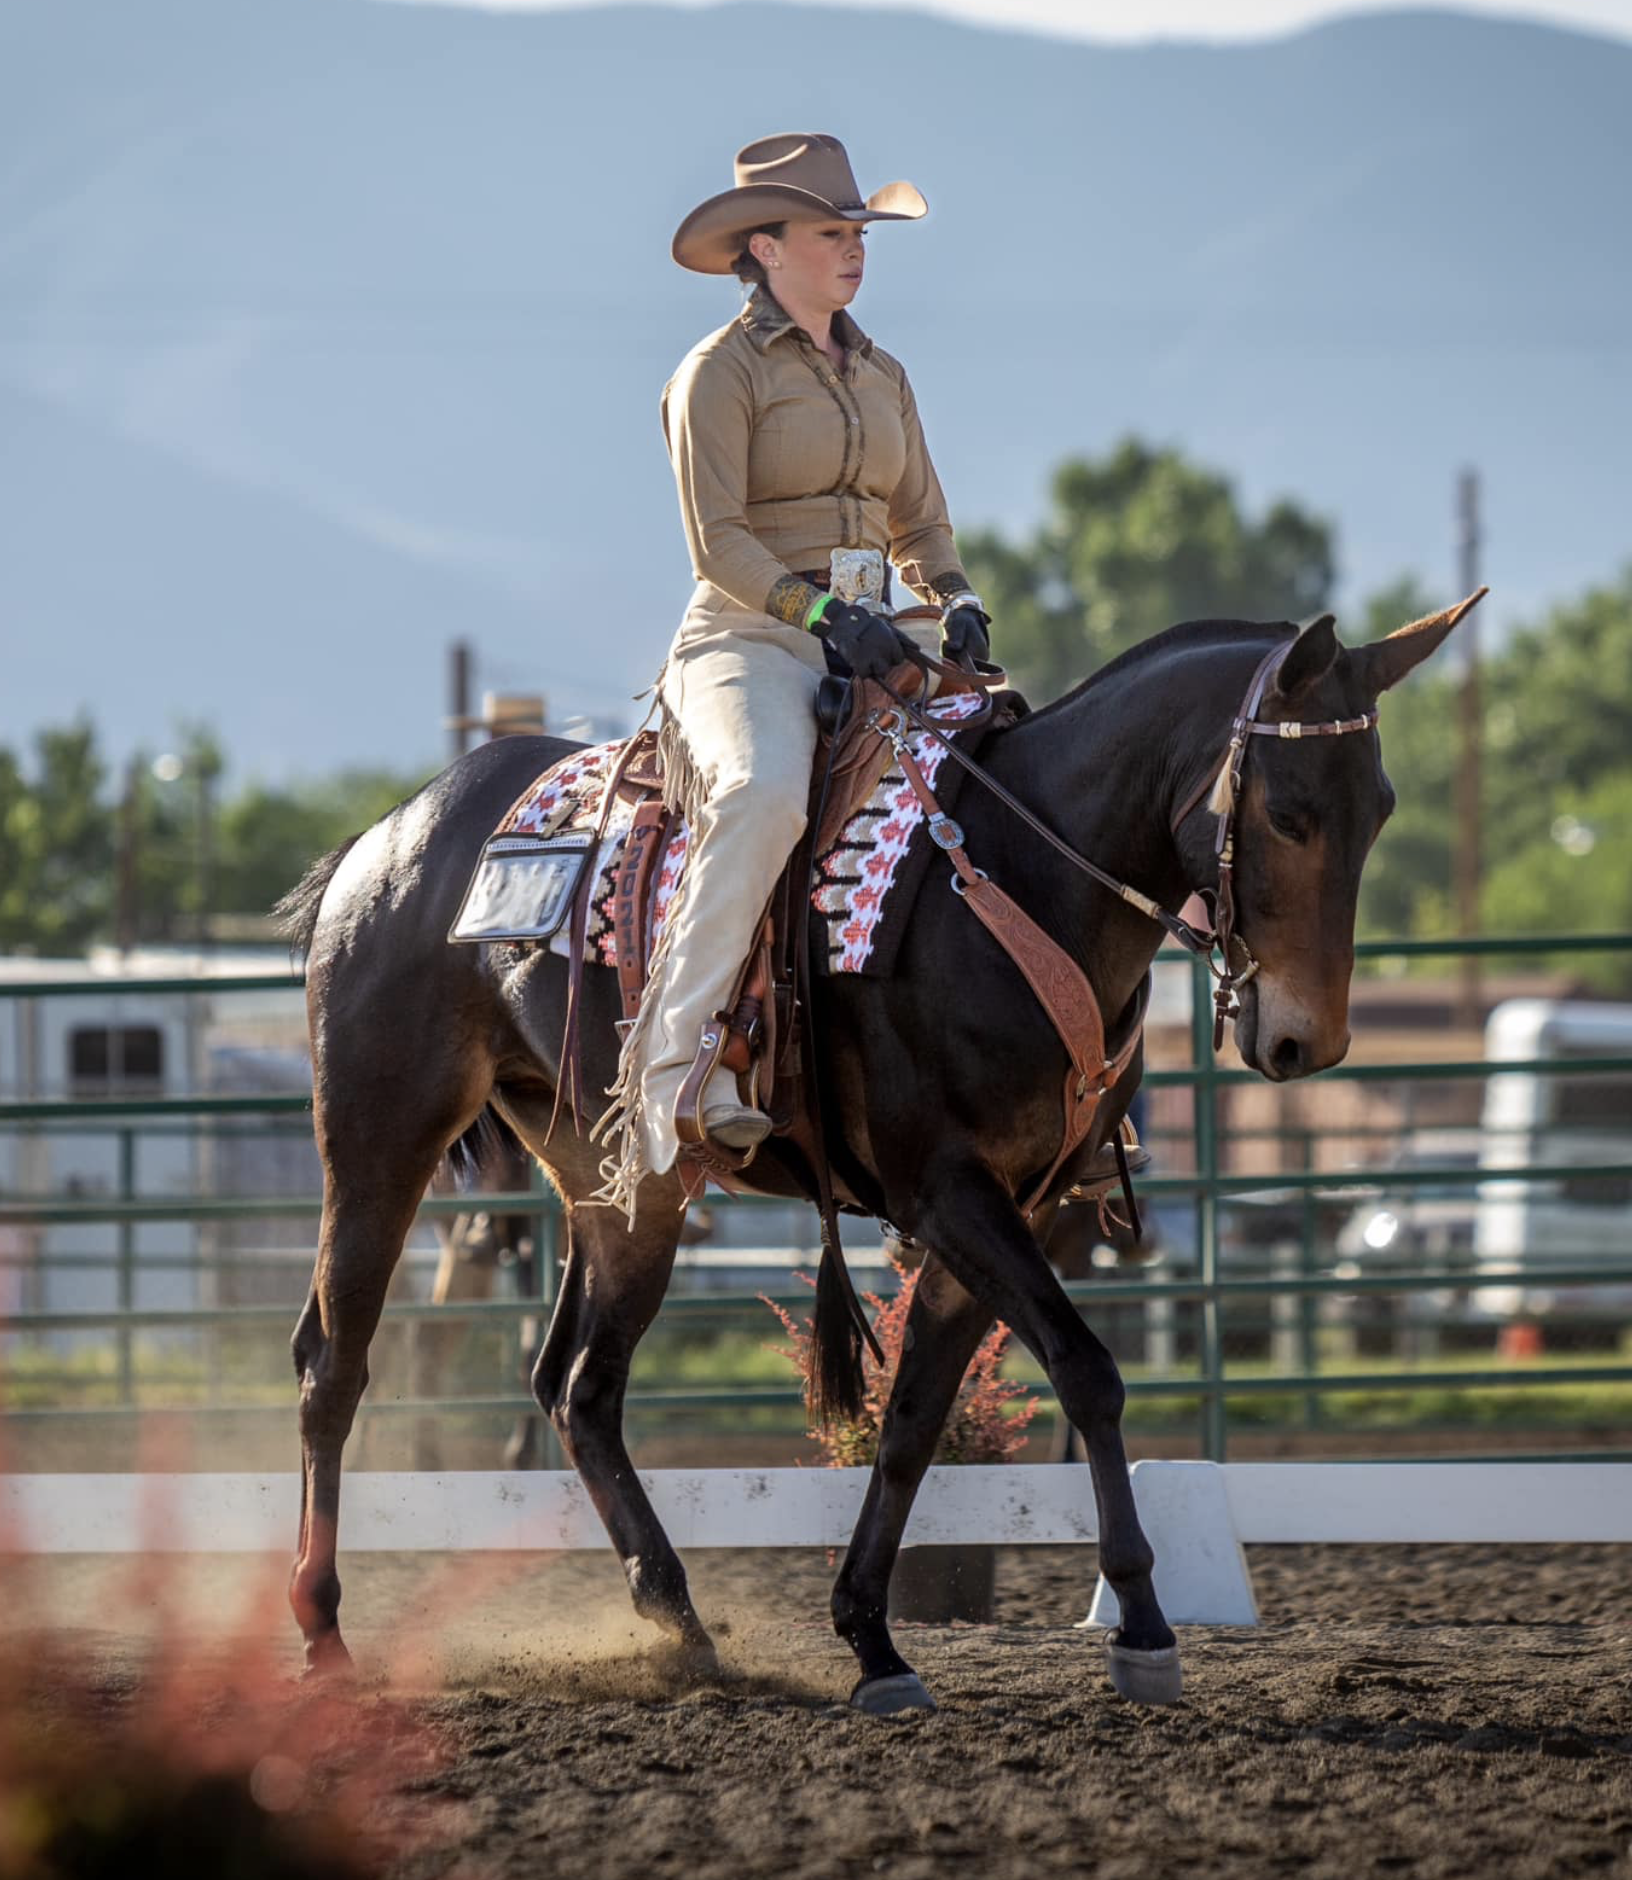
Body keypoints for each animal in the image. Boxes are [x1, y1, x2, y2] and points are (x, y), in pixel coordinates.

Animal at [277, 594, 1476, 1713]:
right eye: (1289, 812)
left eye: (1380, 809)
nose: (1306, 1041)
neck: (1015, 878)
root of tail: (384, 839)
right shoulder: (948, 1189)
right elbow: (1087, 1370)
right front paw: (1140, 1622)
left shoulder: (1020, 1207)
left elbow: (912, 1418)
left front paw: (872, 1635)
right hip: (378, 1138)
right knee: (336, 1364)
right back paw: (322, 1633)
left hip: (624, 1193)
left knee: (578, 1386)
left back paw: (679, 1622)